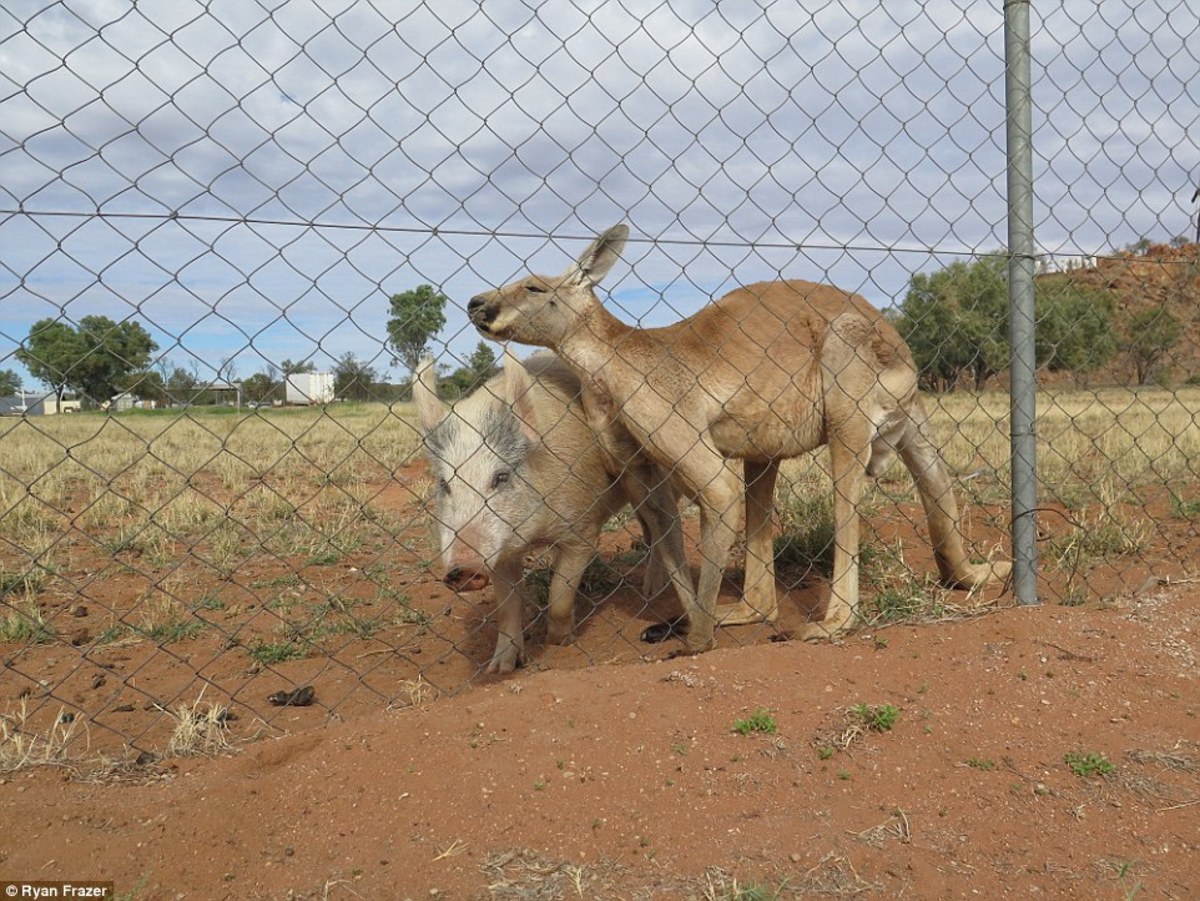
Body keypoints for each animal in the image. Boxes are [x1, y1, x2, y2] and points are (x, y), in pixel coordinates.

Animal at [415, 347, 691, 671]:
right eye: (445, 484)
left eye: (501, 477)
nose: (461, 569)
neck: (535, 535)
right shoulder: (500, 551)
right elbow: (507, 607)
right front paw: (501, 667)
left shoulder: (582, 528)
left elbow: (559, 593)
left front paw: (560, 641)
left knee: (667, 522)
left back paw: (652, 591)